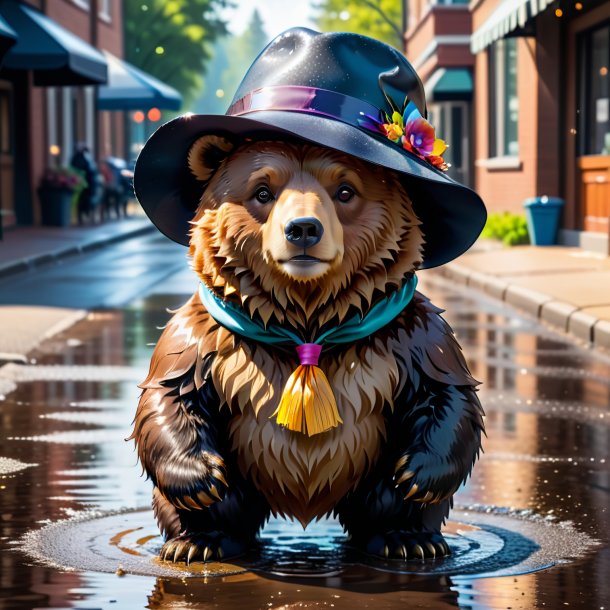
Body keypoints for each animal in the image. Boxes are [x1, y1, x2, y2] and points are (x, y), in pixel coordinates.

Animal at [129, 27, 484, 560]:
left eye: (345, 190)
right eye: (262, 191)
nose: (302, 229)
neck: (306, 321)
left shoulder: (407, 335)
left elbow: (448, 391)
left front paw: (419, 475)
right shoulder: (211, 336)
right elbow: (170, 391)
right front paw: (198, 477)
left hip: (368, 483)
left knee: (385, 504)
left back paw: (407, 539)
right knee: (220, 507)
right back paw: (198, 541)